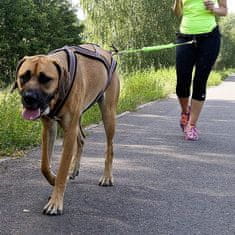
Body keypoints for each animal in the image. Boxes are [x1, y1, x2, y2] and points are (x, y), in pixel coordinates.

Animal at [13, 44, 119, 215]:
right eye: (24, 77)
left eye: (45, 79)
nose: (28, 98)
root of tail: (108, 53)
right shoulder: (49, 127)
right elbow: (44, 165)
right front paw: (53, 178)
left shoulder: (69, 132)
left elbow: (62, 167)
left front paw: (55, 202)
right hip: (78, 118)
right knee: (81, 139)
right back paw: (74, 169)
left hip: (108, 114)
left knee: (109, 147)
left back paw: (107, 177)